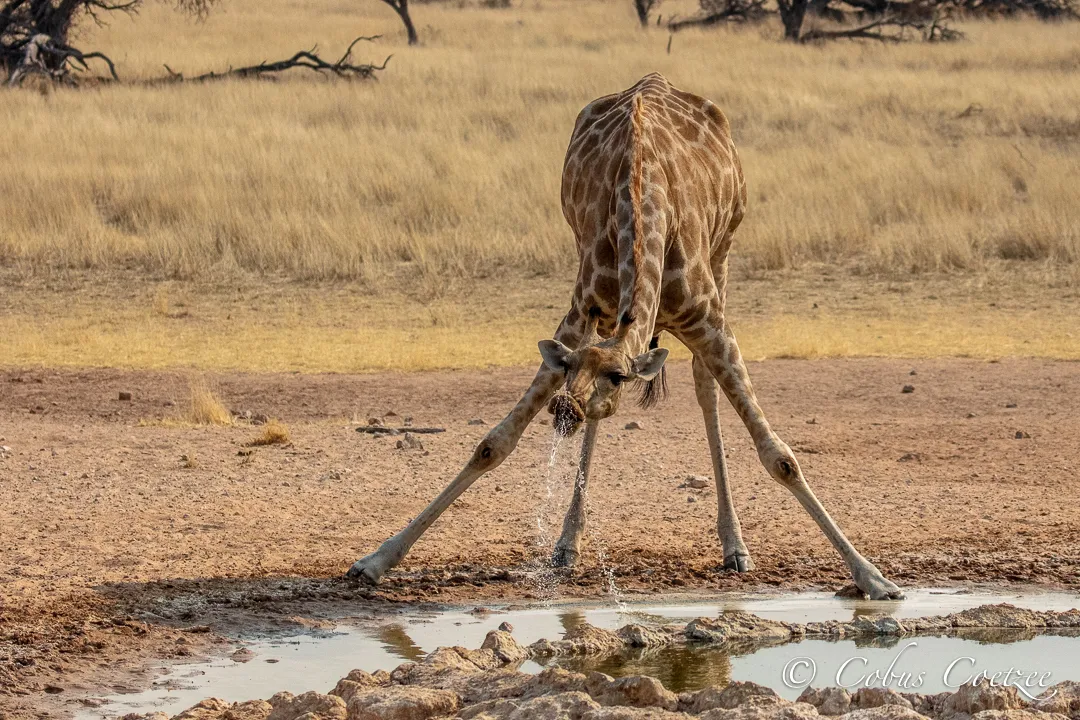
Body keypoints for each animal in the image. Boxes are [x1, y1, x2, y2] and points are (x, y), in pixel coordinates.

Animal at [348, 73, 904, 600]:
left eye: (619, 376)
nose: (564, 408)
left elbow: (780, 457)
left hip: (725, 255)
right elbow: (494, 443)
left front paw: (875, 579)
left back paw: (735, 546)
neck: (644, 207)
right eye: (567, 367)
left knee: (704, 386)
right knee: (603, 418)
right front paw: (376, 560)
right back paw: (567, 544)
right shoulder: (581, 309)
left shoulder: (709, 320)